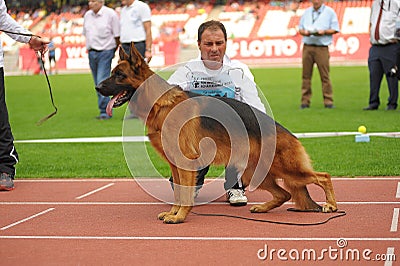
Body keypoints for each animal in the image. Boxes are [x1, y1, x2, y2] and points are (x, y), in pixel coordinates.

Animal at [97, 43, 338, 222]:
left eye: (119, 75)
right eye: (112, 73)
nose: (97, 88)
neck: (160, 103)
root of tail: (290, 135)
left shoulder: (185, 162)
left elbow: (184, 193)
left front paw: (180, 216)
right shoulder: (175, 164)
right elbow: (178, 192)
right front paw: (174, 212)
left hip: (287, 169)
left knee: (323, 177)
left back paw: (331, 205)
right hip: (255, 173)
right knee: (285, 193)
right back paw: (263, 208)